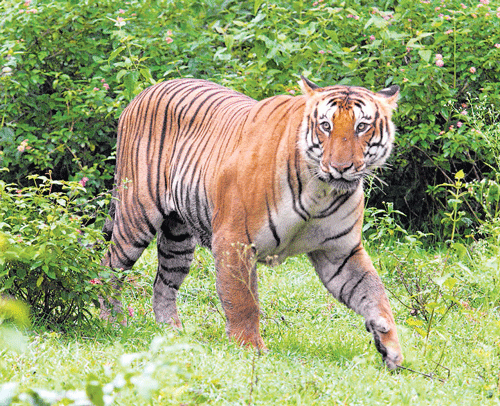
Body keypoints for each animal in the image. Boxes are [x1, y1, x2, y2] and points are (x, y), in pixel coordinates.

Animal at [100, 77, 402, 372]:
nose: (340, 167)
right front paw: (249, 348)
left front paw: (390, 347)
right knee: (109, 267)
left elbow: (374, 294)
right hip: (135, 216)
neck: (321, 192)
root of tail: (143, 93)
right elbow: (243, 300)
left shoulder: (339, 252)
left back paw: (171, 334)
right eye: (325, 126)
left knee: (163, 285)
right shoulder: (234, 240)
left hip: (178, 238)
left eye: (362, 127)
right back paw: (112, 321)